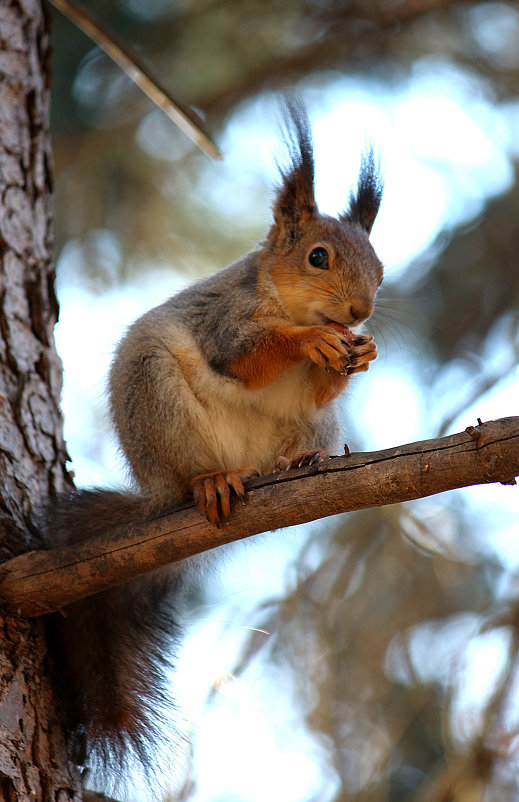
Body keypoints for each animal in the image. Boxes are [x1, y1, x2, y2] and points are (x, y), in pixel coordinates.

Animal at [43, 97, 382, 784]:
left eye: (379, 263)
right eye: (317, 257)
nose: (360, 312)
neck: (284, 300)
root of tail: (154, 496)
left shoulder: (318, 396)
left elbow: (320, 390)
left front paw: (358, 355)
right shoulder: (224, 319)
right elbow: (248, 355)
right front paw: (308, 342)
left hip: (312, 429)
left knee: (302, 436)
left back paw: (296, 460)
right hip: (158, 399)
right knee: (193, 475)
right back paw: (213, 481)